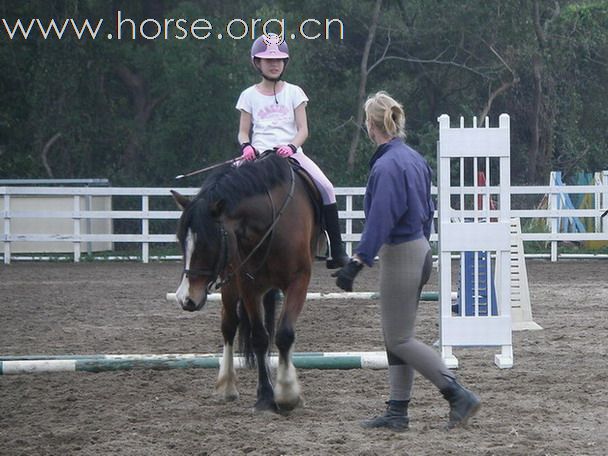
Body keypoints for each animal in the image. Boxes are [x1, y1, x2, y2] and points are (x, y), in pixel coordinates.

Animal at [171, 154, 320, 414]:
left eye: (208, 243)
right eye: (181, 240)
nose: (185, 298)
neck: (270, 222)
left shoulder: (299, 281)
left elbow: (284, 334)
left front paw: (288, 393)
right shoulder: (249, 286)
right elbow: (259, 338)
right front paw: (266, 397)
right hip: (231, 287)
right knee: (229, 326)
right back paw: (227, 386)